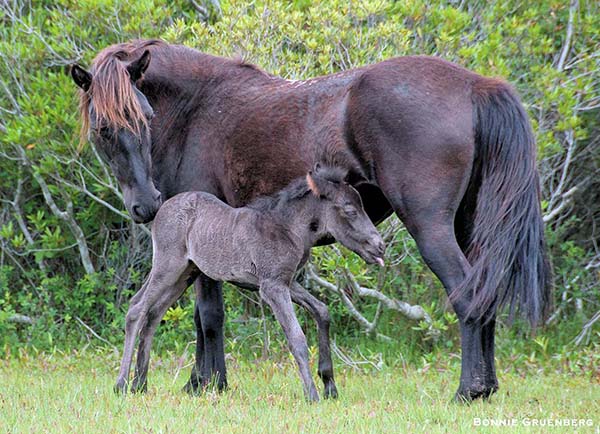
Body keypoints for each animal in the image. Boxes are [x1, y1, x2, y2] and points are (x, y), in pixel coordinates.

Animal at [116, 164, 384, 402]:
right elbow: (297, 338)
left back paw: (140, 384)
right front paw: (313, 395)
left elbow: (322, 311)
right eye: (350, 210)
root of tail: (161, 210)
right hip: (168, 265)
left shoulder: (285, 282)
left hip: (185, 273)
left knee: (153, 313)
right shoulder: (273, 287)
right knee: (137, 309)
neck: (288, 229)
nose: (379, 246)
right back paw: (122, 384)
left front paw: (329, 385)